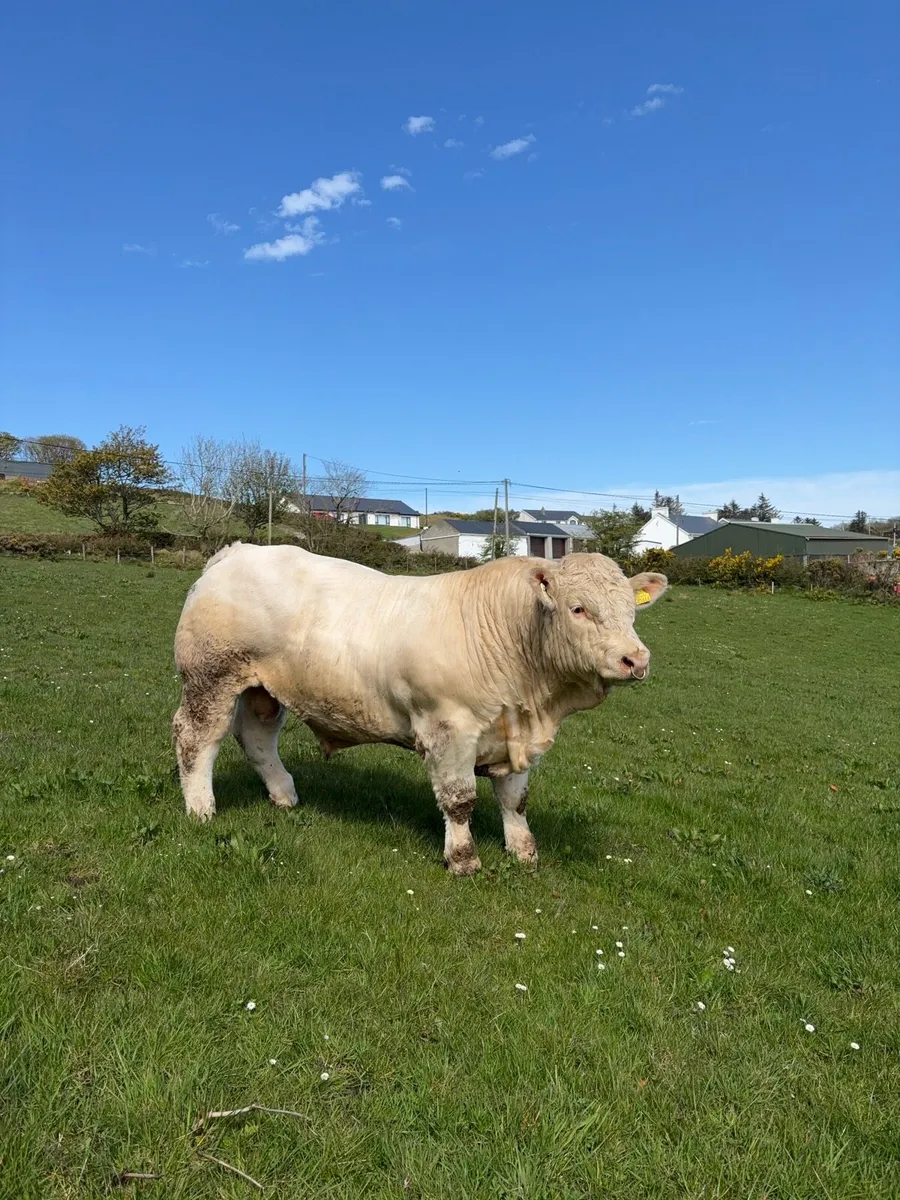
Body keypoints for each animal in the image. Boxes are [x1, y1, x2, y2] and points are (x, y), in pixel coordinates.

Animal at [172, 543, 667, 874]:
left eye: (632, 611)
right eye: (578, 608)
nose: (636, 659)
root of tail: (236, 552)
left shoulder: (514, 733)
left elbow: (515, 799)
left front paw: (524, 850)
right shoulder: (449, 730)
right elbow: (460, 800)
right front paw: (463, 859)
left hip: (266, 691)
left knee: (257, 739)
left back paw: (283, 796)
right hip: (211, 678)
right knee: (196, 739)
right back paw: (201, 808)